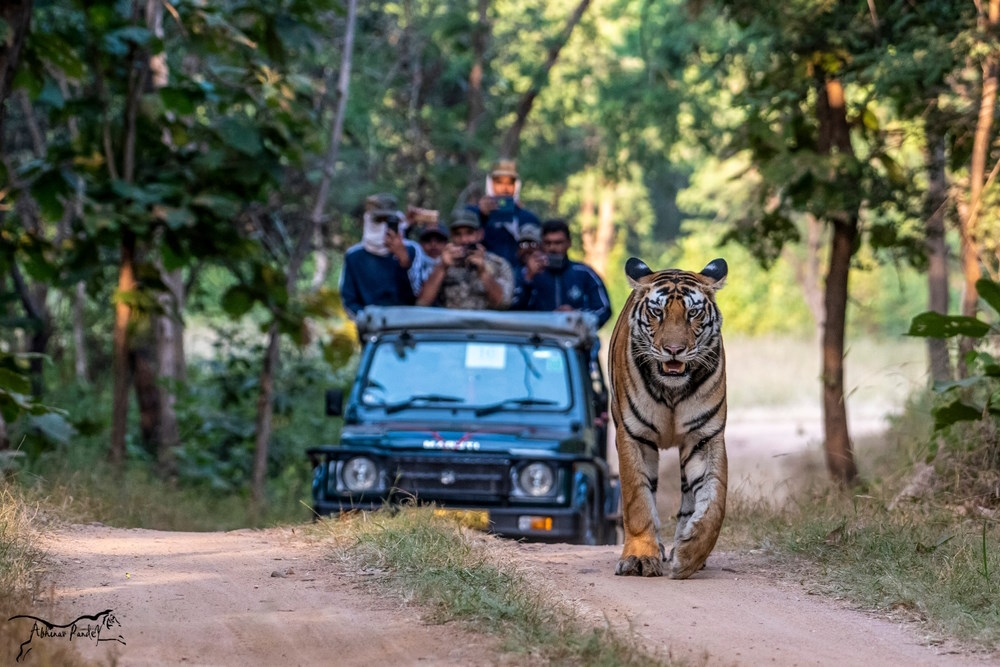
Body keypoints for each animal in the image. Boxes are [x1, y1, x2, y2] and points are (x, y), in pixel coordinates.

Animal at [608, 257, 728, 578]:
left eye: (693, 313)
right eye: (657, 312)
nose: (674, 350)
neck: (672, 390)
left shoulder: (704, 437)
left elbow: (715, 500)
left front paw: (690, 555)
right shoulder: (633, 435)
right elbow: (637, 500)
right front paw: (639, 558)